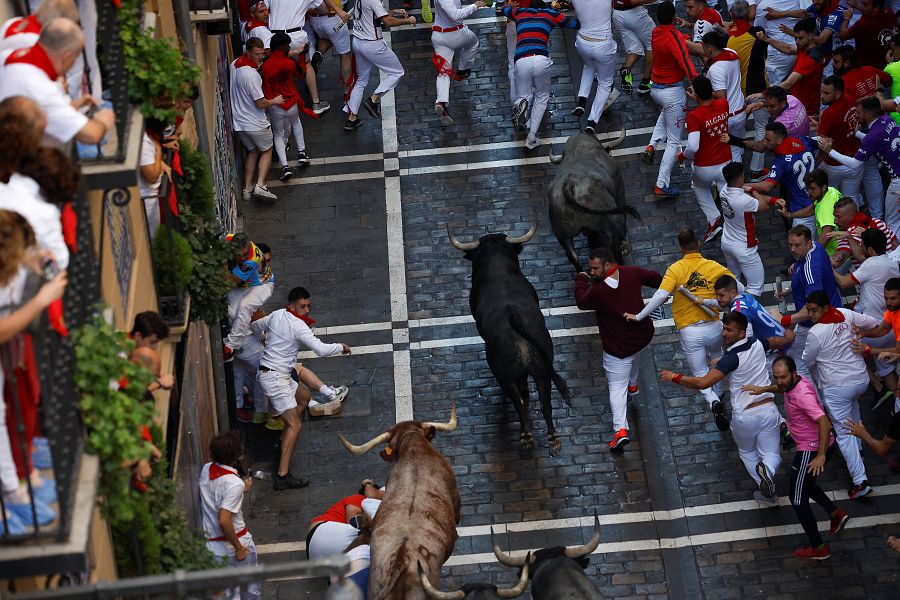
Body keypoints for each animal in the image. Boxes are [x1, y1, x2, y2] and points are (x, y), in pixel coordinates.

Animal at [448, 221, 572, 454]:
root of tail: (515, 320)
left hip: (506, 375)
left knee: (519, 403)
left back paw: (526, 436)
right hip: (542, 371)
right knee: (545, 404)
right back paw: (553, 438)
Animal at [548, 130, 640, 274]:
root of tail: (569, 185)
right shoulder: (620, 191)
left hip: (563, 236)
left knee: (573, 257)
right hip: (613, 219)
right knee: (615, 244)